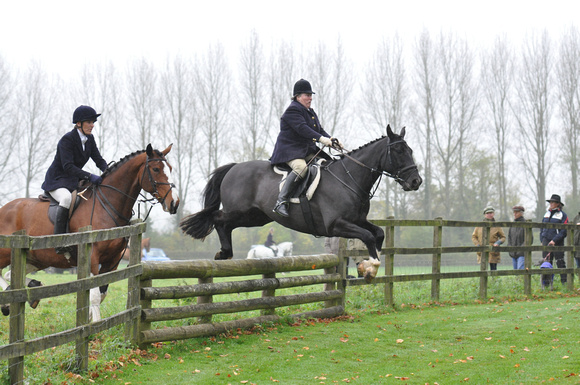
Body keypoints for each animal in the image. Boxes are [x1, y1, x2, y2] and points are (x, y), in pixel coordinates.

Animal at [0, 142, 179, 320]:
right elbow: (94, 295)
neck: (106, 205)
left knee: (11, 274)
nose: (174, 203)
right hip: (7, 253)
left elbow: (101, 293)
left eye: (170, 168)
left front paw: (90, 319)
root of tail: (4, 208)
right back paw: (8, 302)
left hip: (37, 260)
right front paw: (95, 325)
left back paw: (31, 290)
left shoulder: (112, 261)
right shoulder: (92, 258)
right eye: (156, 169)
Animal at [181, 124, 422, 280]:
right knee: (218, 219)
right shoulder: (336, 225)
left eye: (410, 150)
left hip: (255, 217)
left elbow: (378, 234)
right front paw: (370, 266)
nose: (416, 181)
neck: (349, 178)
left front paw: (368, 266)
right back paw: (224, 253)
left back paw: (224, 253)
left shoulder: (357, 220)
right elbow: (368, 236)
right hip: (240, 211)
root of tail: (233, 167)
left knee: (225, 223)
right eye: (398, 150)